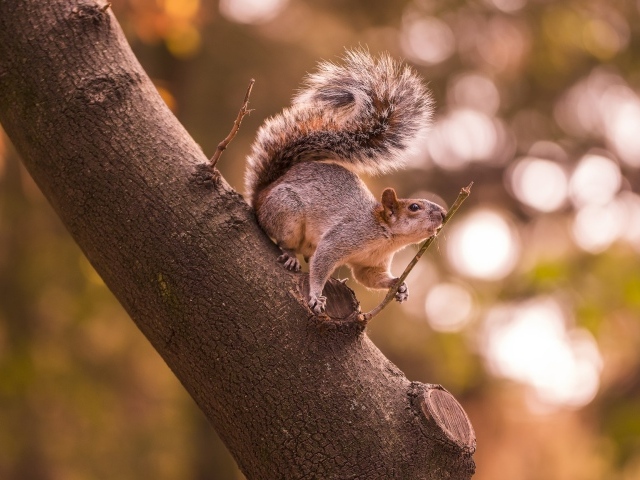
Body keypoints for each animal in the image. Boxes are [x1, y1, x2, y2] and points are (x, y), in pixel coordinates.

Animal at [244, 50, 444, 316]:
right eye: (414, 207)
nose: (443, 214)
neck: (385, 237)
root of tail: (262, 194)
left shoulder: (370, 264)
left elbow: (368, 278)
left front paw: (399, 286)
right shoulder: (342, 237)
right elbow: (321, 264)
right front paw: (316, 296)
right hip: (286, 208)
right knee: (283, 238)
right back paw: (290, 255)